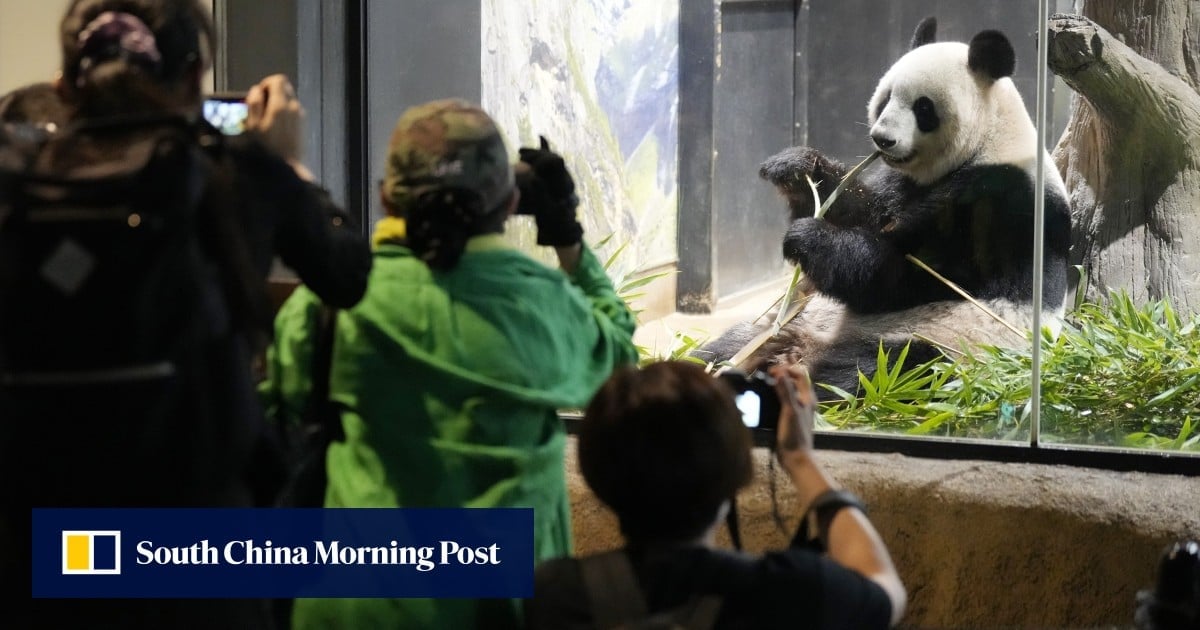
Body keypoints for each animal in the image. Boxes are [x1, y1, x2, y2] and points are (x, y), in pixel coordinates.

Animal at [700, 19, 1075, 400]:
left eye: (923, 108)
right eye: (885, 99)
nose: (882, 139)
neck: (991, 140)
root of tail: (800, 346)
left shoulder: (1000, 205)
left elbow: (911, 277)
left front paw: (809, 238)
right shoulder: (902, 183)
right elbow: (868, 212)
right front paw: (796, 168)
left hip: (946, 344)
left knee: (881, 369)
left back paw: (808, 381)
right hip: (793, 317)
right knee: (729, 345)